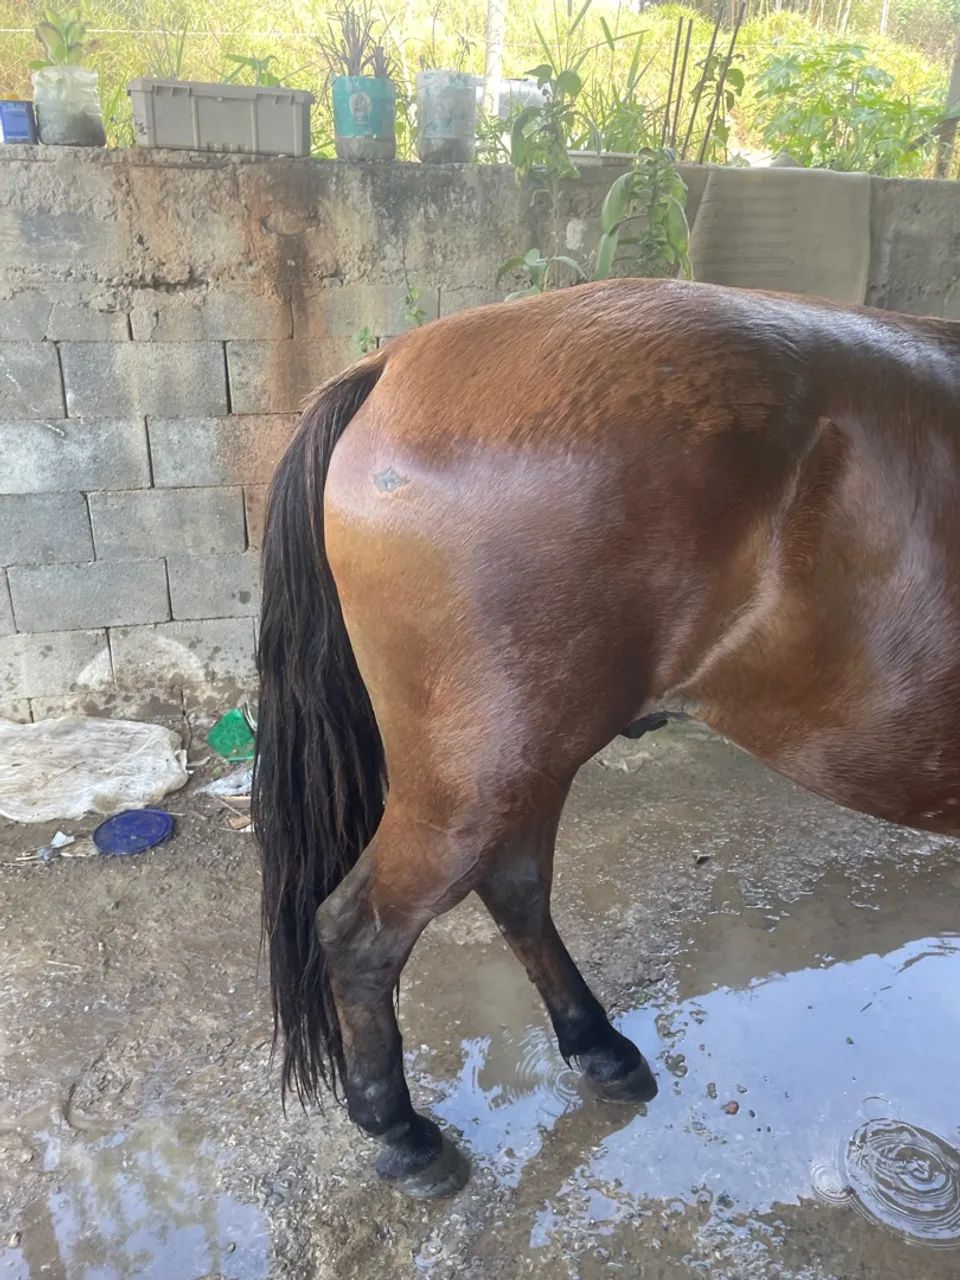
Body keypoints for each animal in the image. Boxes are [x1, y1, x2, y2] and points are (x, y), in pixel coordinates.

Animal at [252, 278, 960, 1199]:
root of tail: (395, 362)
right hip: (471, 783)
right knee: (356, 929)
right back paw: (403, 1133)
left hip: (526, 758)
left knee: (514, 887)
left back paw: (597, 1047)